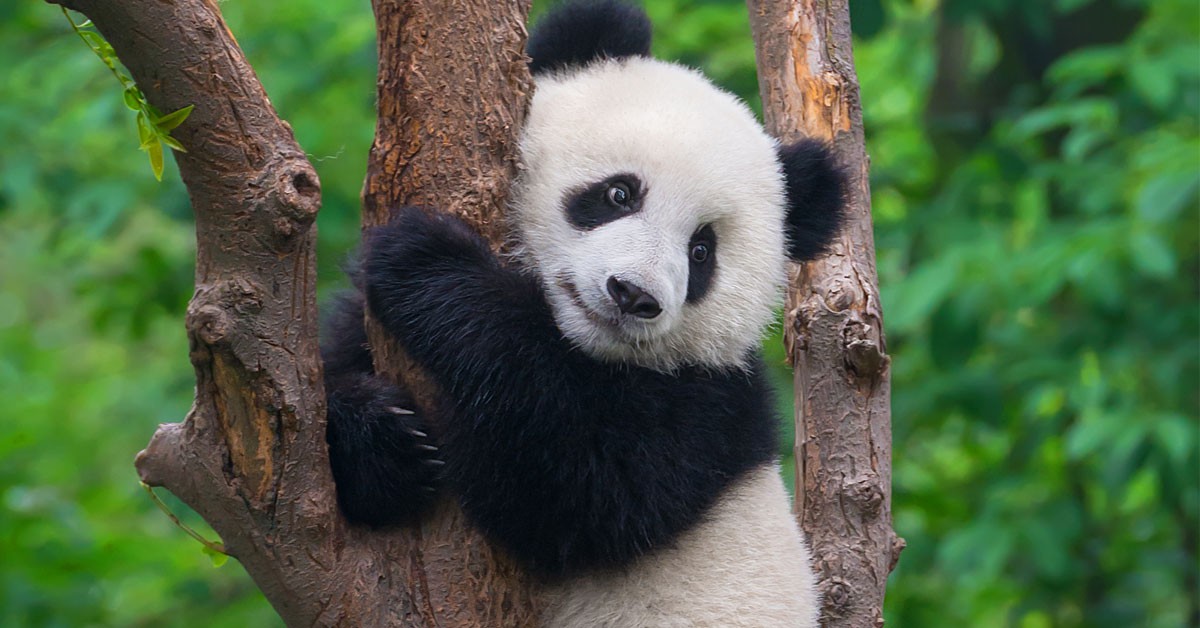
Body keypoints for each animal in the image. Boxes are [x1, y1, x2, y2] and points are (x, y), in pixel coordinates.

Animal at [321, 1, 846, 626]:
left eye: (701, 251)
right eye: (619, 193)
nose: (632, 295)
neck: (578, 345)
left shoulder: (711, 408)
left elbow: (583, 489)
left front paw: (426, 261)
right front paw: (383, 443)